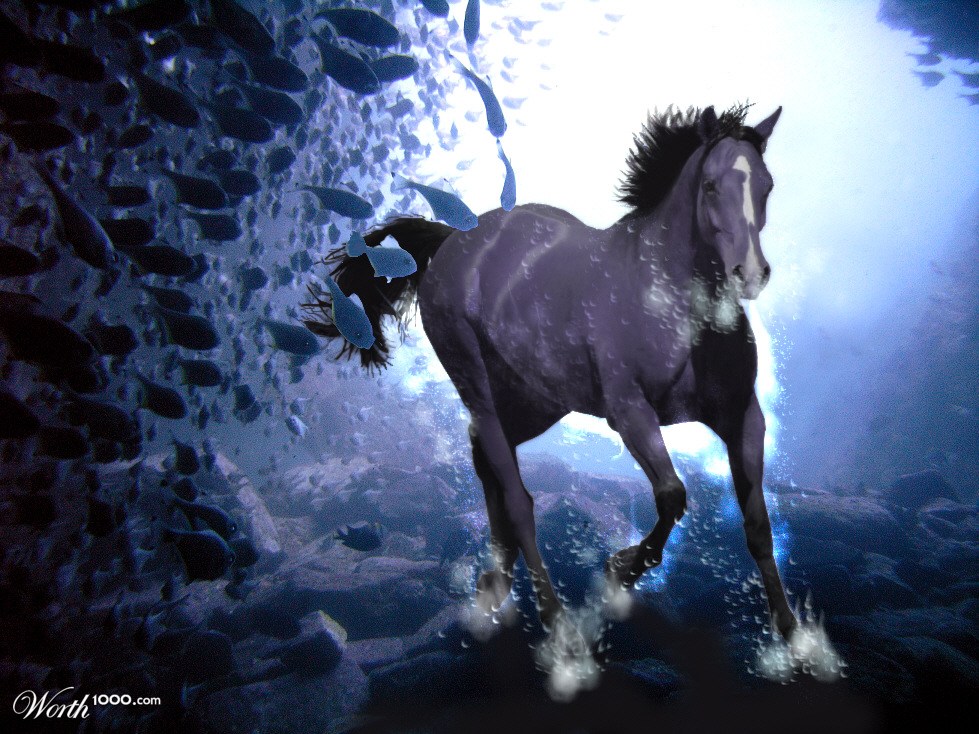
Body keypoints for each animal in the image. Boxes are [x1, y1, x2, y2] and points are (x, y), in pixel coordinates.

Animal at [305, 103, 798, 640]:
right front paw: (617, 571)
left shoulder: (743, 415)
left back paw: (493, 588)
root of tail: (456, 239)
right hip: (476, 381)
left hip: (536, 401)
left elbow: (757, 523)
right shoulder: (629, 412)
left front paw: (793, 634)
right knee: (517, 497)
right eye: (710, 186)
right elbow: (671, 496)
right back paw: (555, 622)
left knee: (486, 464)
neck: (672, 304)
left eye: (767, 185)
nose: (750, 274)